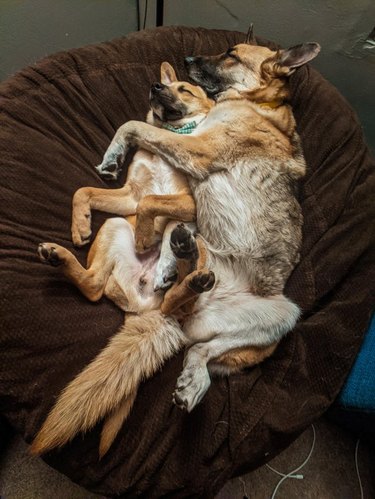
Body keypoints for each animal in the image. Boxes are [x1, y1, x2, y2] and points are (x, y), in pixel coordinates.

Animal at [31, 32, 324, 458]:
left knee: (194, 336)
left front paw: (142, 223)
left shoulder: (194, 165)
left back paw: (180, 271)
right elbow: (99, 182)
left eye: (231, 54)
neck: (259, 105)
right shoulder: (133, 197)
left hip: (283, 313)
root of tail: (162, 318)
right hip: (120, 230)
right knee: (126, 301)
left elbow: (135, 128)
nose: (183, 61)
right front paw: (103, 182)